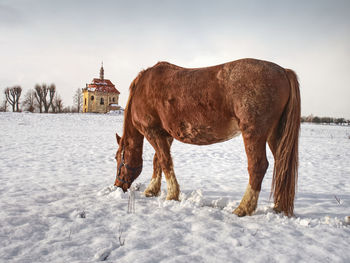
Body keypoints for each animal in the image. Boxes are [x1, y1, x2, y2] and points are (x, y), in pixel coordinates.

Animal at [113, 58, 300, 218]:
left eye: (117, 158)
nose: (118, 185)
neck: (142, 88)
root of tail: (284, 71)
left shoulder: (153, 132)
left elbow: (165, 161)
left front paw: (171, 195)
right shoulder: (166, 135)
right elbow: (157, 160)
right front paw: (152, 190)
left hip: (254, 134)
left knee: (258, 167)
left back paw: (243, 208)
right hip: (275, 135)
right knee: (282, 167)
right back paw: (278, 206)